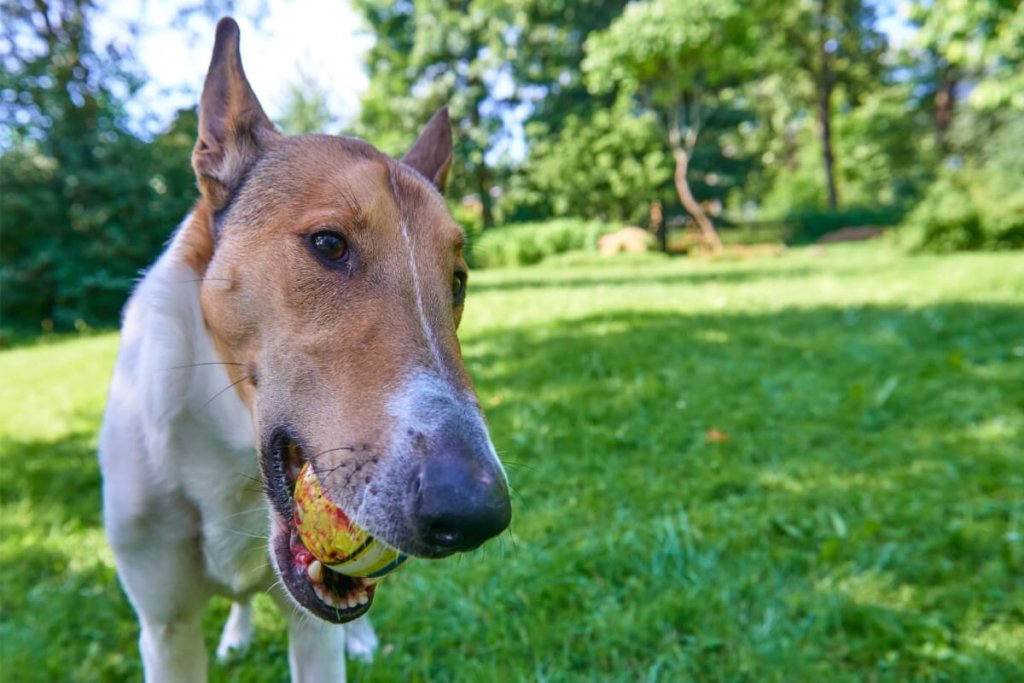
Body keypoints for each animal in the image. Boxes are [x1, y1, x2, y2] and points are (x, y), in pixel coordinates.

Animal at [97, 17, 509, 683]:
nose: (475, 512)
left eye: (457, 280)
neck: (231, 459)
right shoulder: (165, 628)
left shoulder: (314, 629)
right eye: (328, 244)